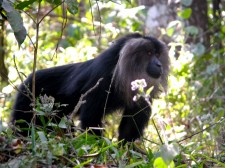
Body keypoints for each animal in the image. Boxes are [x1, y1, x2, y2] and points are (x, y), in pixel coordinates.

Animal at [10, 33, 169, 142]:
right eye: (149, 53)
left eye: (157, 54)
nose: (159, 64)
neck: (120, 72)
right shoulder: (102, 78)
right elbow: (91, 119)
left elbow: (131, 125)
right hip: (28, 98)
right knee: (23, 124)